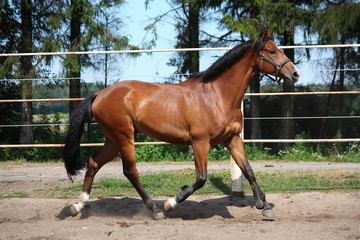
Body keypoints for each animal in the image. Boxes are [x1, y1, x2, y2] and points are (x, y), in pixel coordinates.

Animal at [63, 31, 300, 220]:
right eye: (271, 51)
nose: (295, 73)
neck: (217, 95)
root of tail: (99, 94)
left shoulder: (232, 139)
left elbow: (248, 170)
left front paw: (264, 206)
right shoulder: (200, 142)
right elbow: (201, 178)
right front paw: (172, 202)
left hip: (113, 139)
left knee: (93, 164)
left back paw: (78, 206)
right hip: (124, 137)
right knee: (131, 171)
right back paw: (156, 210)